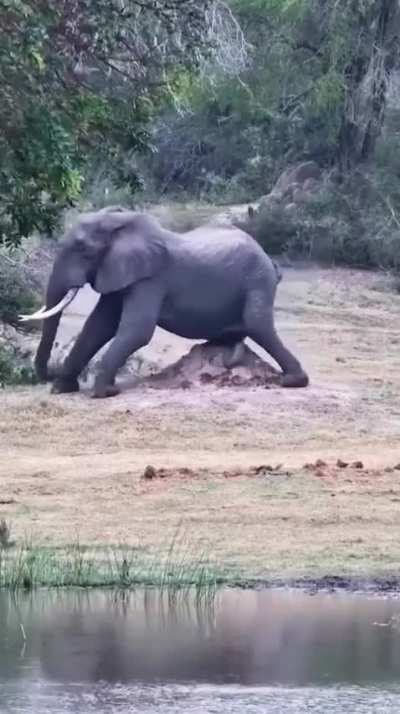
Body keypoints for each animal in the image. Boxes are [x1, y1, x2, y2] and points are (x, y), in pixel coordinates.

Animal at [20, 207, 309, 398]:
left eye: (83, 250)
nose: (48, 374)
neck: (119, 223)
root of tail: (268, 258)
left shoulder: (150, 279)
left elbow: (137, 330)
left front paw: (105, 392)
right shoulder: (120, 273)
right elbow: (98, 326)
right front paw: (62, 389)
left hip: (257, 278)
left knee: (258, 324)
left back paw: (293, 381)